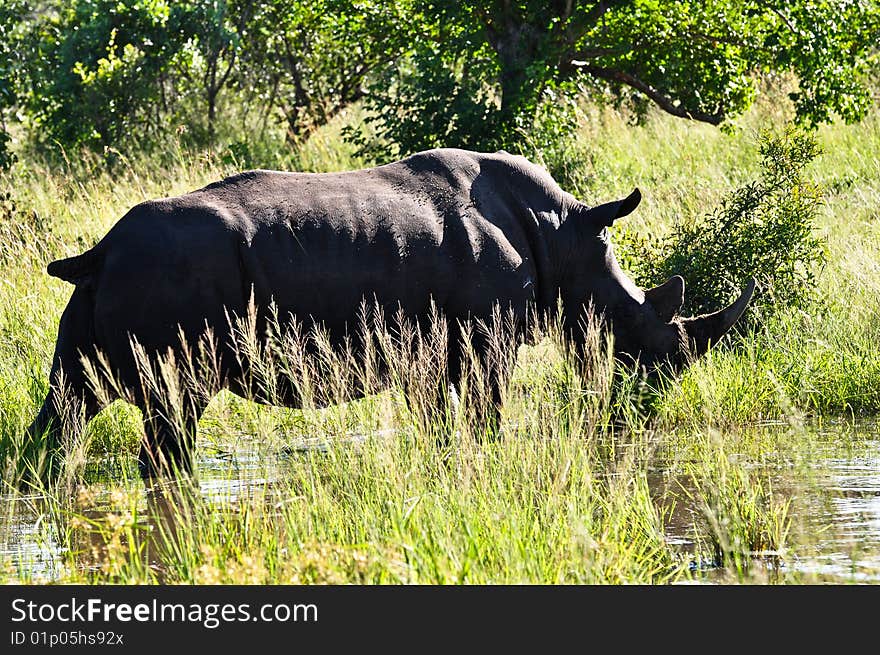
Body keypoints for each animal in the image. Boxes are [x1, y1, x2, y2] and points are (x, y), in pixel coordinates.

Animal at [29, 149, 756, 480]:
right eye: (641, 337)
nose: (640, 411)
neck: (566, 239)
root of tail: (102, 250)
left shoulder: (432, 351)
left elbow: (442, 426)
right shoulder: (487, 342)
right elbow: (487, 419)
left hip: (104, 291)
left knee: (69, 404)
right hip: (167, 284)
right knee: (173, 415)